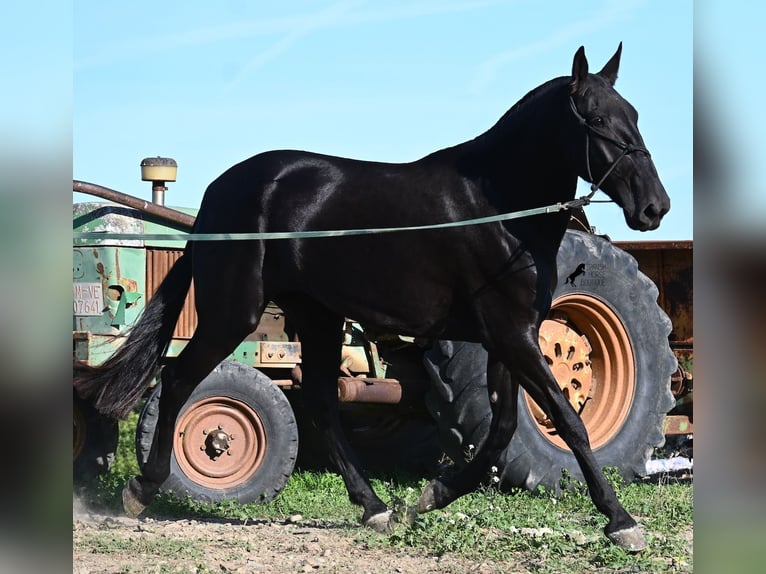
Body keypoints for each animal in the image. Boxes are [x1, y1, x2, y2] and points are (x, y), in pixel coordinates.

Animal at [75, 44, 669, 551]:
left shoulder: (509, 337)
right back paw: (142, 489)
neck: (498, 208)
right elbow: (568, 421)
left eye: (636, 115)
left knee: (319, 401)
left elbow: (502, 431)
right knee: (180, 378)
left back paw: (375, 505)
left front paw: (431, 496)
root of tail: (214, 200)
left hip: (314, 316)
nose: (655, 207)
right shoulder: (513, 336)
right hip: (234, 313)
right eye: (596, 120)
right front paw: (621, 520)